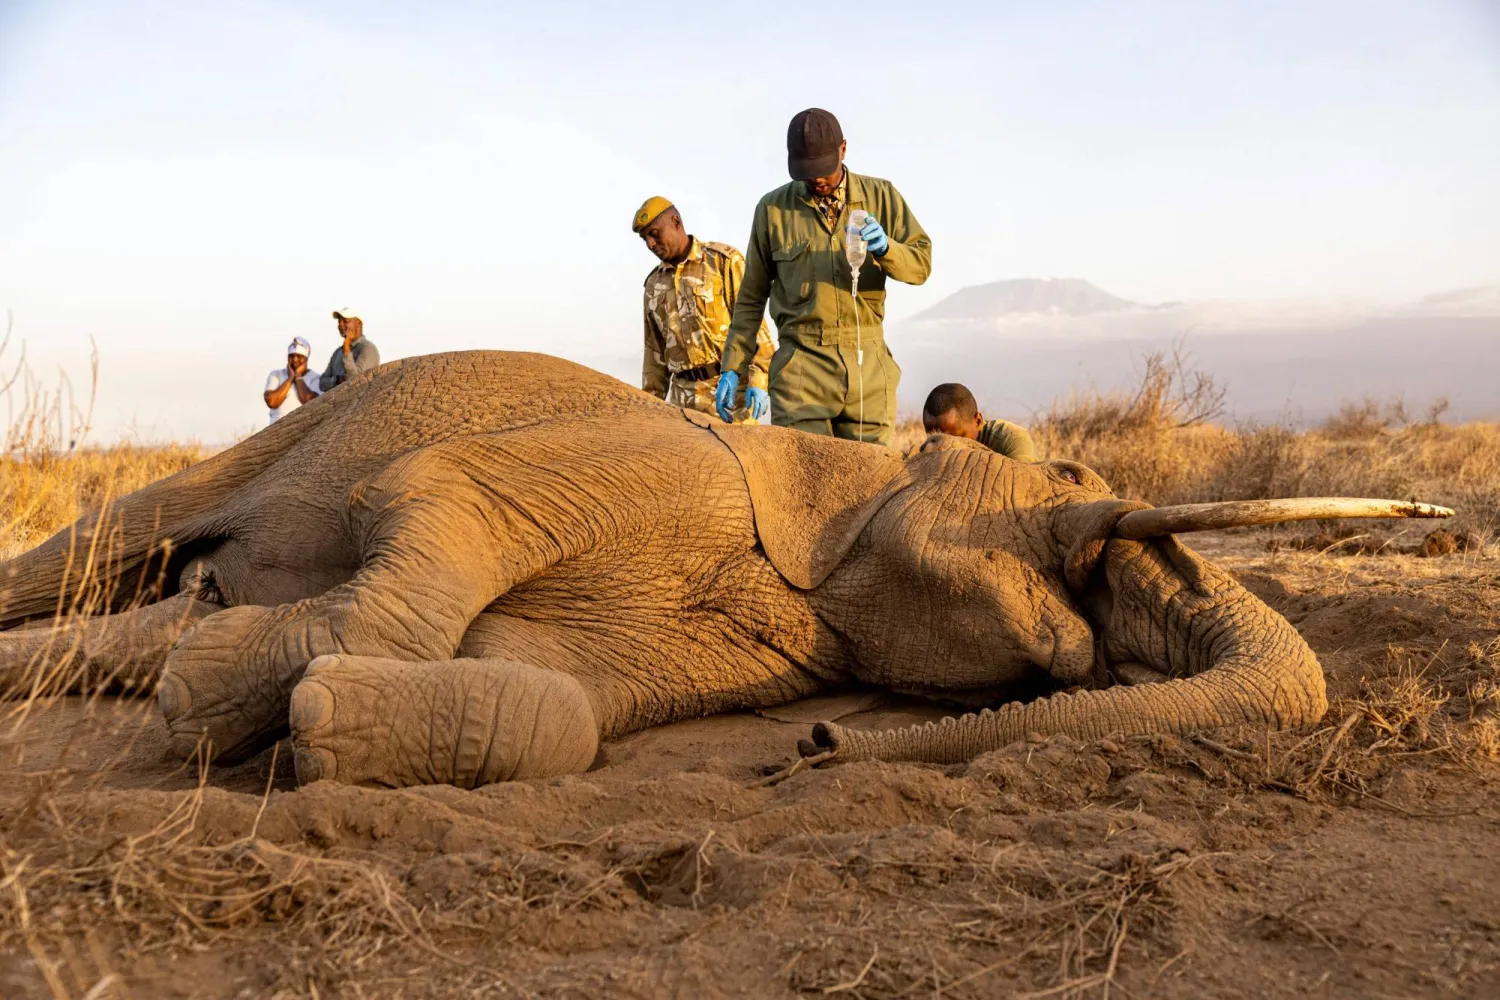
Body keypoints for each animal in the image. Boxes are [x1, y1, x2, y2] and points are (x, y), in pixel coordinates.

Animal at [0, 351, 1451, 788]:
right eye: (1074, 490)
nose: (815, 743)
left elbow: (563, 707)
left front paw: (313, 720)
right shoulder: (678, 468)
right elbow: (431, 498)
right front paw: (234, 698)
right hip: (267, 438)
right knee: (113, 538)